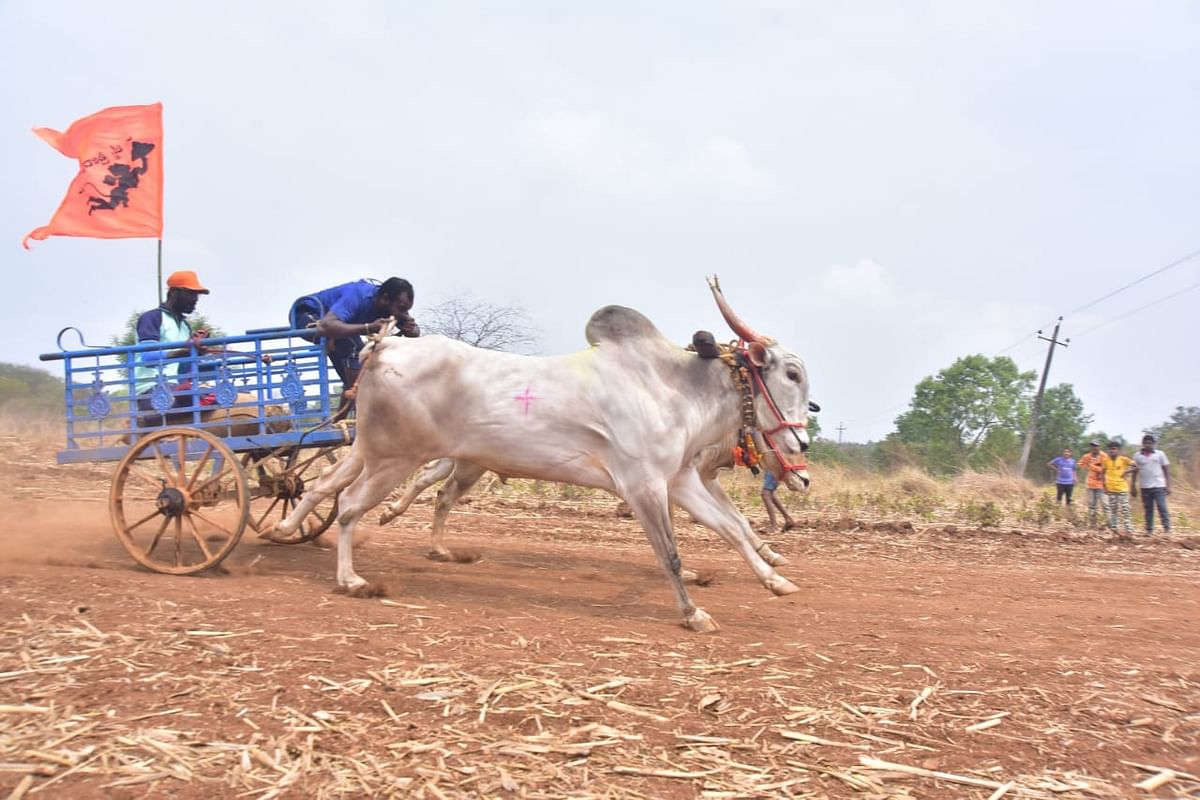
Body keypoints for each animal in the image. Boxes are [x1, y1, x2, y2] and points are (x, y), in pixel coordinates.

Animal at [276, 286, 811, 633]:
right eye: (791, 373)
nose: (802, 447)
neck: (672, 389)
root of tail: (384, 346)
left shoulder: (679, 480)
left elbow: (732, 529)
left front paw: (775, 579)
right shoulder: (643, 486)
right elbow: (672, 555)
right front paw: (692, 613)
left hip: (375, 452)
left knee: (329, 488)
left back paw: (289, 531)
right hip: (395, 457)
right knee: (349, 504)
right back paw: (350, 578)